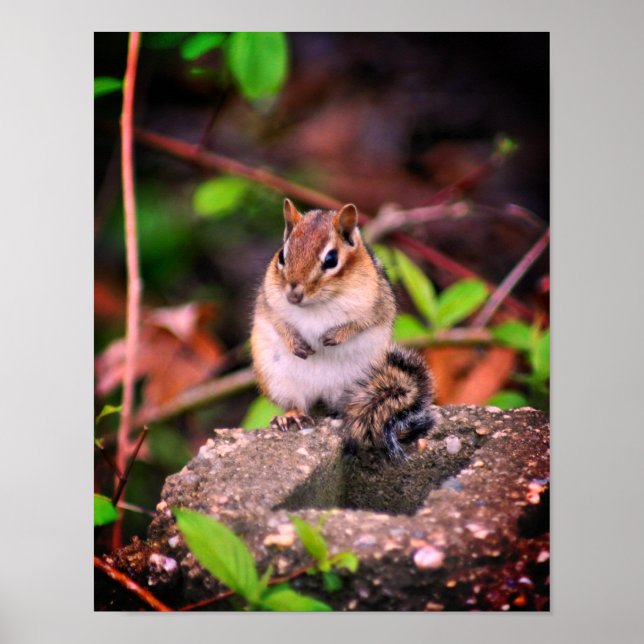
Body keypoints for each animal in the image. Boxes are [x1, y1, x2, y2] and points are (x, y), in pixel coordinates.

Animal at [250, 198, 437, 458]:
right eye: (282, 256)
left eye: (331, 260)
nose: (293, 294)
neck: (317, 305)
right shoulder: (268, 302)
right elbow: (278, 322)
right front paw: (295, 342)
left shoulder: (377, 304)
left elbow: (362, 322)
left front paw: (335, 336)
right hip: (278, 379)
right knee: (296, 402)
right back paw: (292, 416)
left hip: (361, 381)